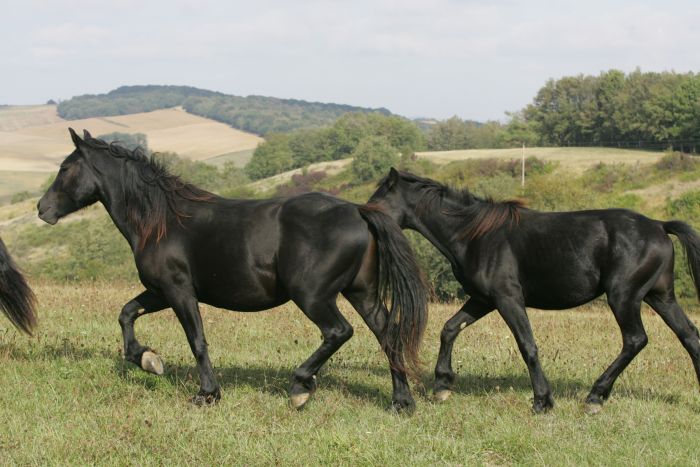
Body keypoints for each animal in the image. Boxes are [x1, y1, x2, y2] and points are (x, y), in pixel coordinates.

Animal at [39, 130, 432, 412]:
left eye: (64, 168)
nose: (42, 209)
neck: (161, 222)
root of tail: (358, 212)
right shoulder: (159, 292)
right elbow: (126, 314)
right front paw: (148, 360)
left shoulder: (179, 291)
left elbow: (196, 340)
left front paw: (207, 394)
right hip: (361, 292)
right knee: (387, 335)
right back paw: (401, 403)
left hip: (314, 296)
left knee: (338, 332)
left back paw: (300, 387)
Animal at [370, 168, 700, 414]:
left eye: (378, 198)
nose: (366, 217)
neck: (476, 235)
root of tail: (659, 225)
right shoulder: (483, 300)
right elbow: (450, 328)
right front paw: (442, 386)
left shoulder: (508, 299)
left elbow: (527, 345)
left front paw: (543, 400)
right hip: (661, 297)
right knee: (689, 336)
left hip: (624, 297)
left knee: (635, 340)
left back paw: (595, 397)